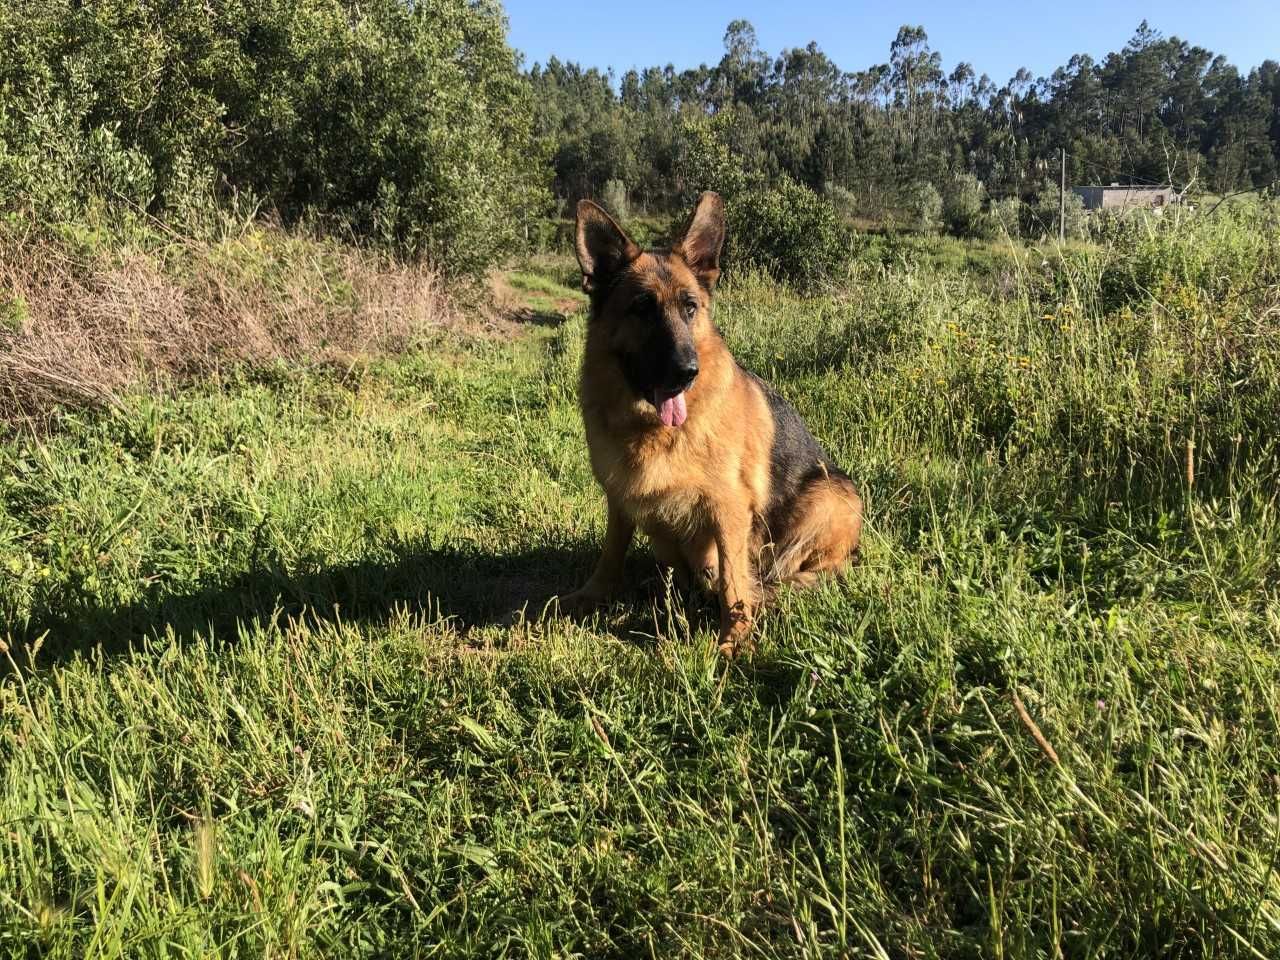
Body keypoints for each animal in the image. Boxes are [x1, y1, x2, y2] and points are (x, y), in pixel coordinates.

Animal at [565, 192, 865, 660]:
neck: (652, 431)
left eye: (690, 308)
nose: (686, 373)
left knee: (810, 570)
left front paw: (733, 640)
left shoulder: (728, 510)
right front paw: (594, 594)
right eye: (641, 309)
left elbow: (732, 584)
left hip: (834, 496)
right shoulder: (619, 498)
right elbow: (611, 552)